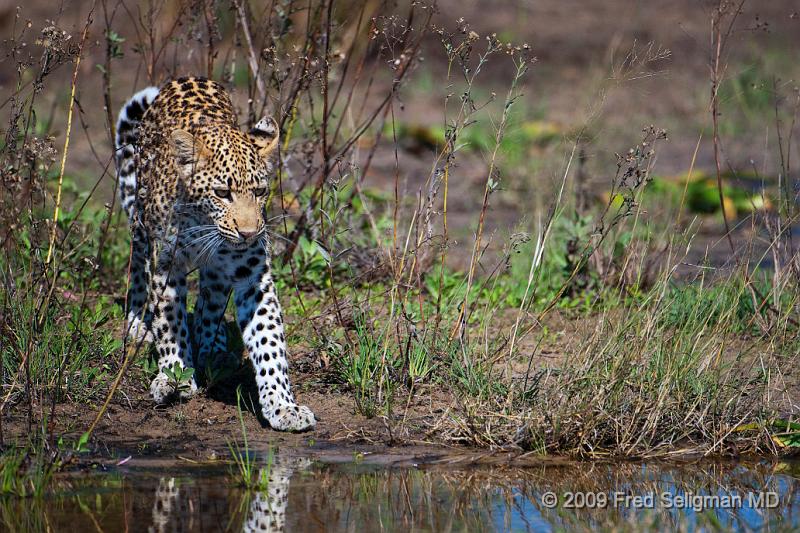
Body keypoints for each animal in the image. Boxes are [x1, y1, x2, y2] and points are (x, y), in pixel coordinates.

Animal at [115, 76, 316, 432]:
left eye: (260, 191)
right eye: (222, 193)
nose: (248, 233)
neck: (206, 226)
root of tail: (185, 78)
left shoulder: (253, 276)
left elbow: (269, 341)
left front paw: (283, 406)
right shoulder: (166, 267)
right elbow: (170, 323)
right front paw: (174, 375)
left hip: (218, 274)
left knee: (210, 302)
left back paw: (213, 346)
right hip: (140, 221)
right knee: (138, 266)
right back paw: (138, 323)